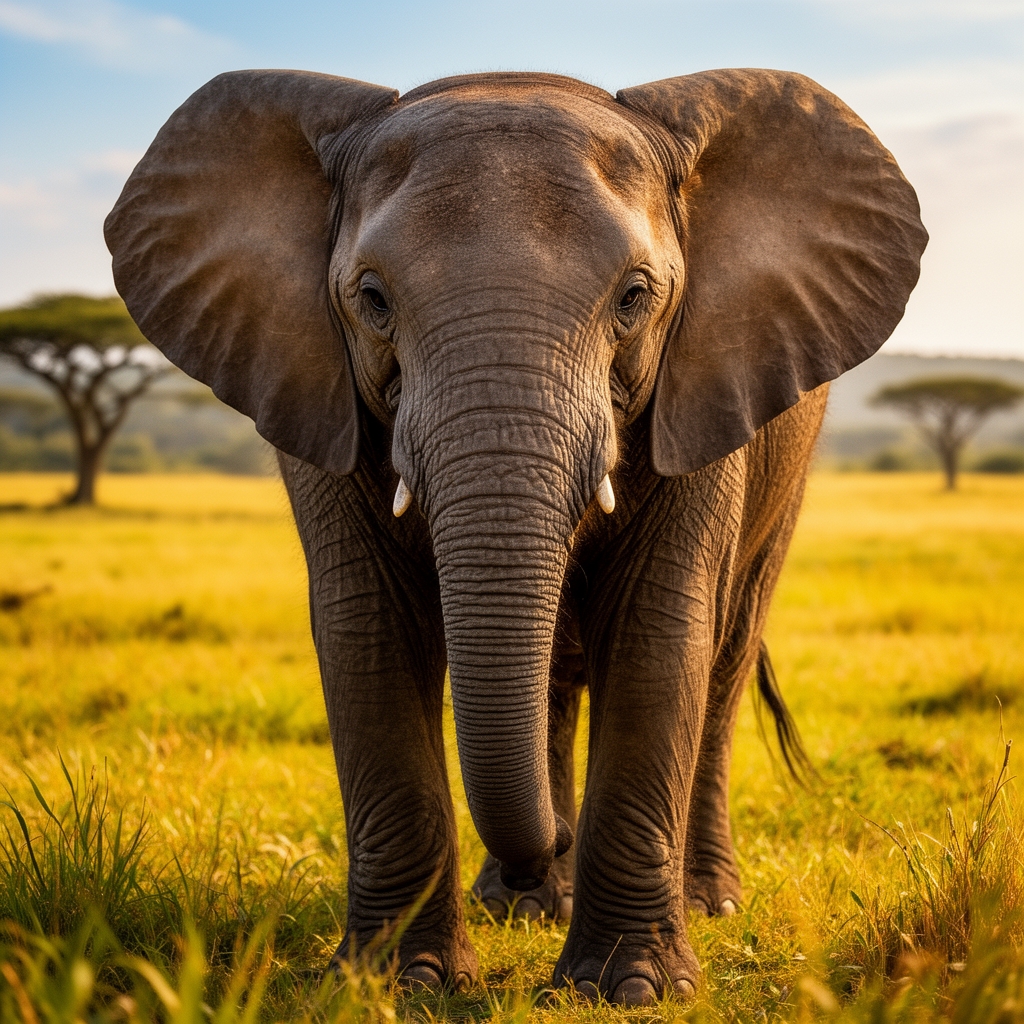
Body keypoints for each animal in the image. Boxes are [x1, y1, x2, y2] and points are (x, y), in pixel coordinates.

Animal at [104, 67, 926, 1005]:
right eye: (372, 299)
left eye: (634, 297)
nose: (548, 848)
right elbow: (368, 629)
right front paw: (395, 986)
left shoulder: (703, 385)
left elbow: (655, 633)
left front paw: (624, 991)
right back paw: (522, 907)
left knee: (723, 655)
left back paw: (699, 899)